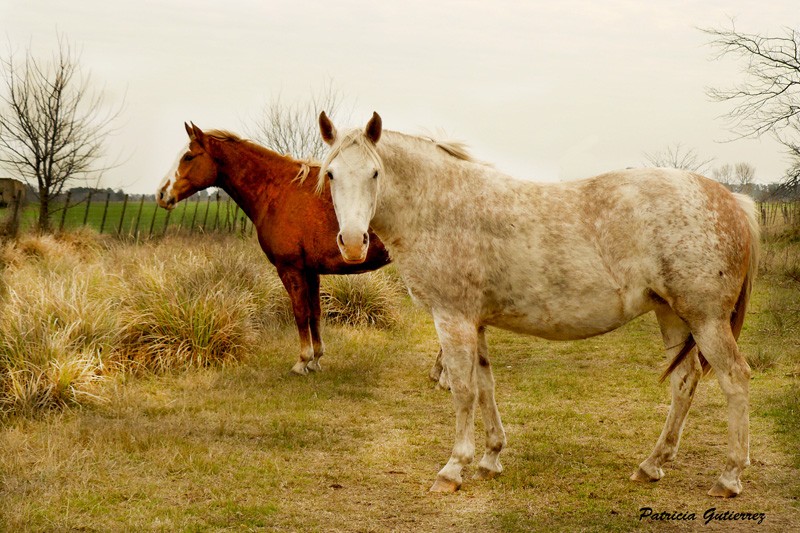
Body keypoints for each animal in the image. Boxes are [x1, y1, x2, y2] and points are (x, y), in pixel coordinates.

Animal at [155, 124, 390, 374]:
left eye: (188, 157)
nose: (161, 194)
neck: (279, 190)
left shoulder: (290, 268)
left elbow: (300, 313)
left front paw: (302, 361)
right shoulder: (310, 271)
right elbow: (315, 313)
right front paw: (316, 359)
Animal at [318, 110, 756, 496]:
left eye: (375, 173)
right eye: (331, 173)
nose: (353, 243)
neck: (440, 207)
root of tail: (731, 200)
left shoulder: (452, 319)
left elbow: (463, 390)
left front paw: (453, 468)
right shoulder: (476, 322)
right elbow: (485, 386)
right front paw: (491, 457)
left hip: (706, 320)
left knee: (734, 379)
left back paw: (729, 477)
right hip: (673, 316)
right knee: (684, 381)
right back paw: (652, 464)